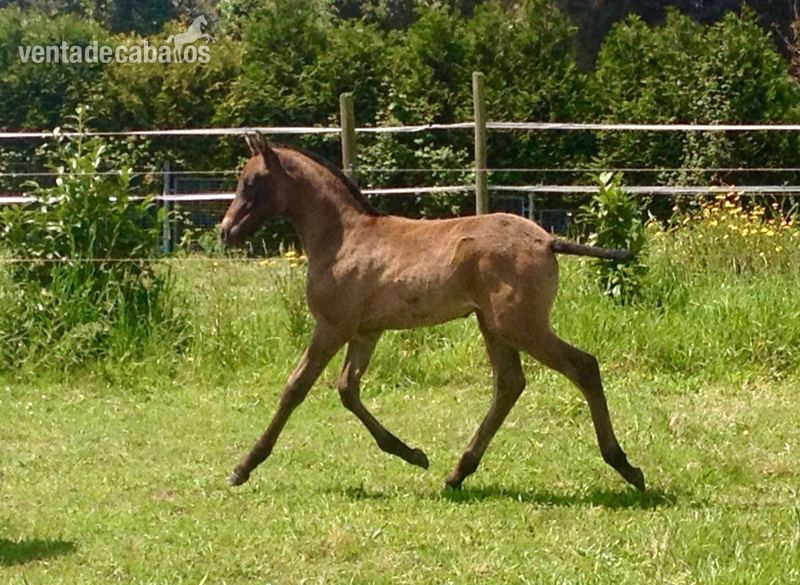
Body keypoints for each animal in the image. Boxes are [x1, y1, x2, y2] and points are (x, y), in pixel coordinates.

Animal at [219, 133, 645, 492]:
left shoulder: (332, 325)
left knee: (583, 366)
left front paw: (243, 467)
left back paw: (627, 468)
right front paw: (413, 454)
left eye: (252, 182)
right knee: (510, 384)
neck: (342, 237)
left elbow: (295, 387)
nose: (226, 231)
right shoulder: (365, 331)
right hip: (493, 325)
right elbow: (347, 389)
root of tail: (547, 240)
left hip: (520, 325)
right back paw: (458, 473)